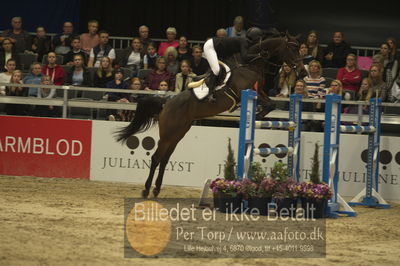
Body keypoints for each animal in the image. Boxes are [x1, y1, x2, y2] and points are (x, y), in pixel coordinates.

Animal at [114, 34, 298, 197]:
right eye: (291, 48)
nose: (299, 67)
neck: (249, 65)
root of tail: (166, 104)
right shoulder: (246, 91)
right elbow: (267, 104)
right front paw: (257, 115)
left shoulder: (259, 91)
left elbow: (271, 104)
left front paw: (258, 115)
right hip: (167, 135)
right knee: (156, 158)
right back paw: (146, 190)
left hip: (177, 134)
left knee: (165, 159)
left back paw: (157, 189)